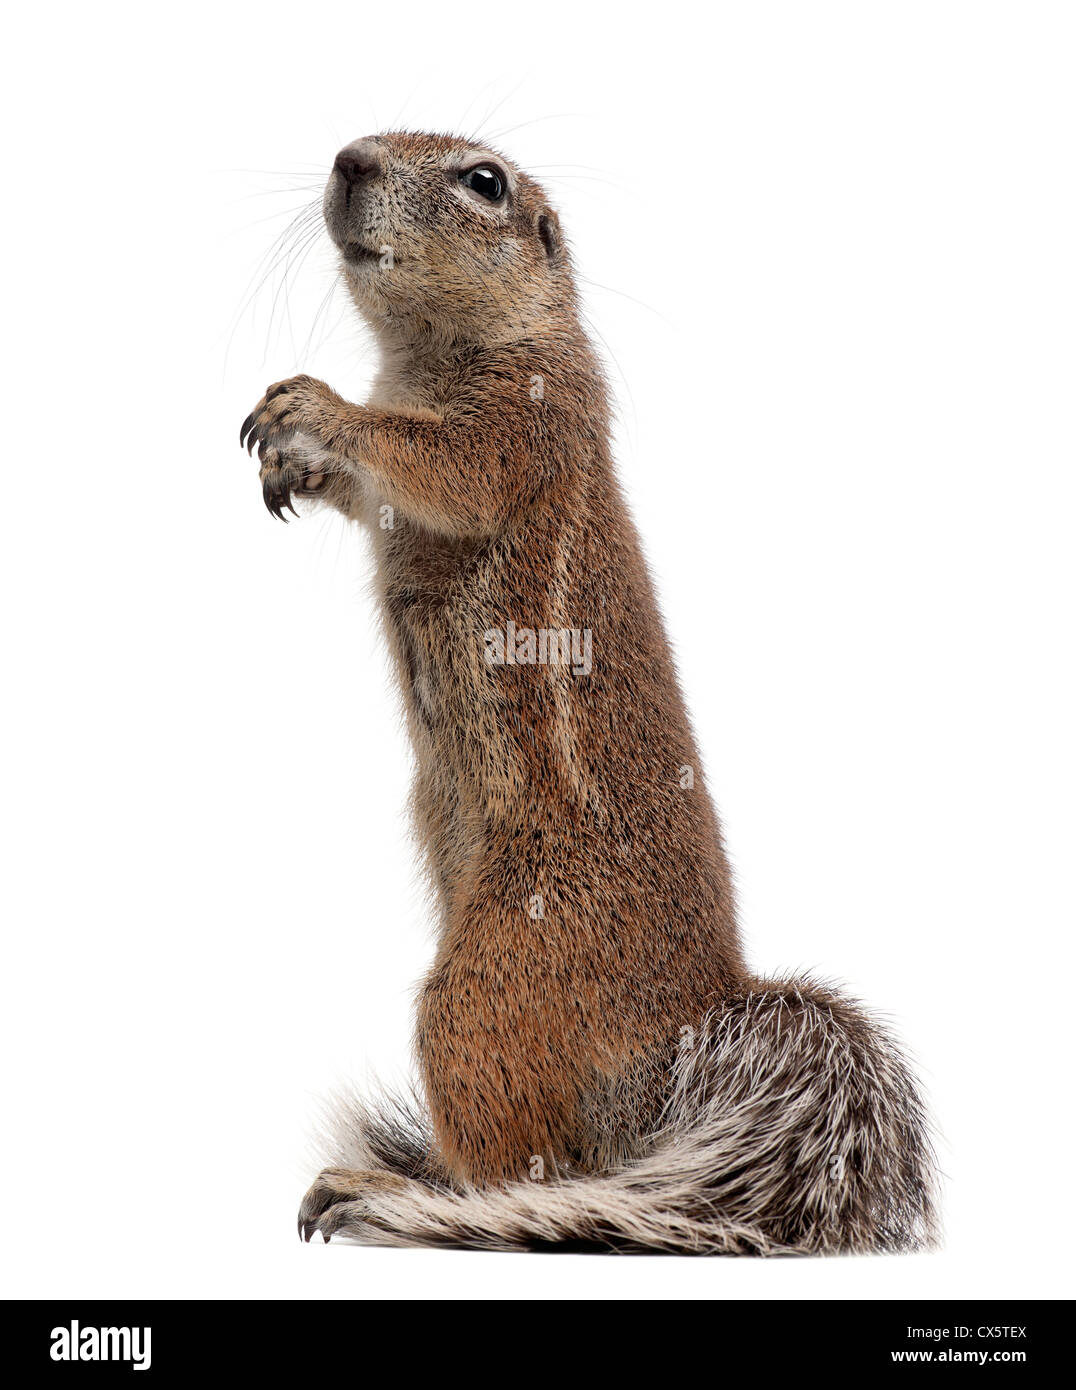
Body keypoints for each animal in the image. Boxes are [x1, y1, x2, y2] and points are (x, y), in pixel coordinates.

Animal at [240, 130, 939, 1256]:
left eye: (484, 181)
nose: (348, 160)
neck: (422, 357)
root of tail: (681, 1036)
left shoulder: (528, 424)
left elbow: (438, 460)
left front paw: (316, 410)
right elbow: (370, 487)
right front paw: (292, 459)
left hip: (490, 984)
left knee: (518, 1167)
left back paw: (396, 1194)